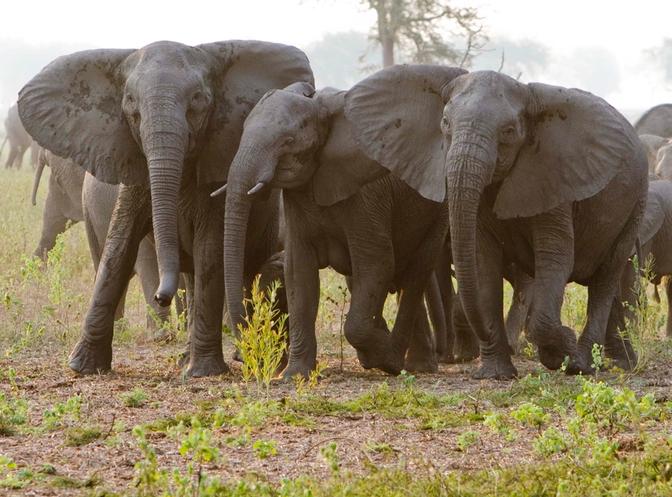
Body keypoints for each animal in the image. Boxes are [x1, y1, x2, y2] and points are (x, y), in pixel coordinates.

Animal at [220, 81, 454, 378]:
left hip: (439, 212)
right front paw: (296, 375)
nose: (241, 356)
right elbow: (299, 273)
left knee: (415, 275)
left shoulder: (367, 196)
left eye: (288, 142)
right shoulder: (297, 197)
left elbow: (377, 262)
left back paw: (398, 361)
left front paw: (380, 353)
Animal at [345, 66, 648, 378]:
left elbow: (555, 256)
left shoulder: (555, 178)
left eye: (509, 132)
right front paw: (496, 374)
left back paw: (581, 365)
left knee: (606, 277)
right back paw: (620, 363)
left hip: (635, 203)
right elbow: (482, 260)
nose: (451, 356)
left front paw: (561, 348)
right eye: (444, 123)